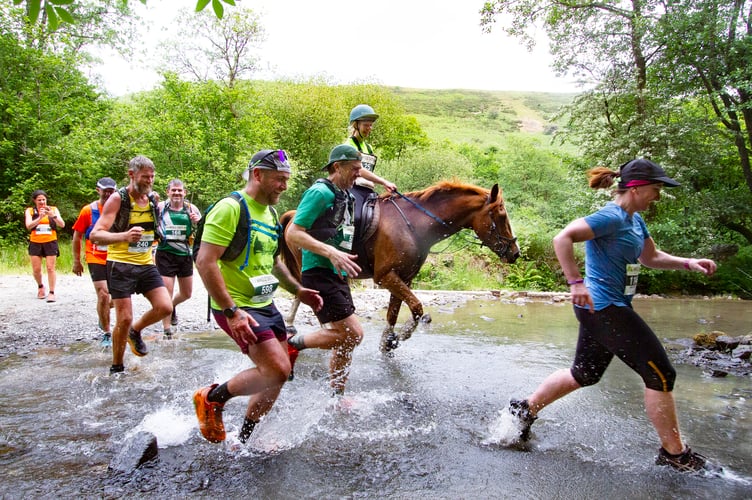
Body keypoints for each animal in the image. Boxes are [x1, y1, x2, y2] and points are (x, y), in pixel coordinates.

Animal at [278, 180, 519, 352]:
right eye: (501, 215)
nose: (515, 253)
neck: (415, 224)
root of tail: (293, 216)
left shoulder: (403, 277)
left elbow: (394, 313)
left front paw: (388, 340)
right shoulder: (386, 276)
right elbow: (417, 308)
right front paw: (401, 336)